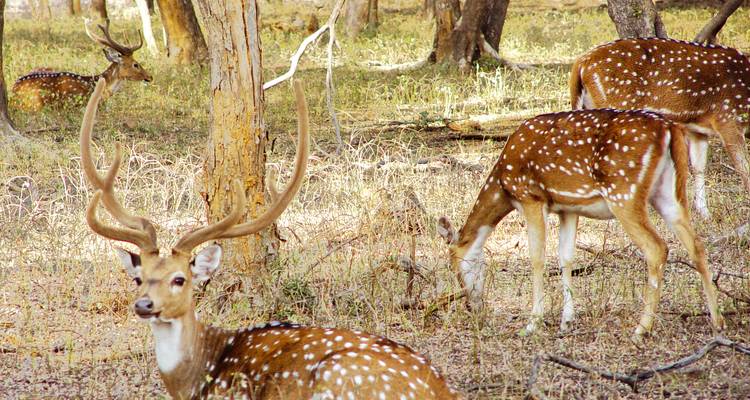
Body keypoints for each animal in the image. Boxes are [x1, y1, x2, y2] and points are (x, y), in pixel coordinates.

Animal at [80, 79, 460, 400]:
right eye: (138, 278)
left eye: (180, 278)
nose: (144, 305)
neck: (194, 379)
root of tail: (443, 390)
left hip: (339, 376)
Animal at [438, 109, 725, 341]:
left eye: (455, 265)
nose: (472, 307)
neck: (503, 186)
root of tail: (670, 129)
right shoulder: (568, 208)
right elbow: (566, 258)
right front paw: (566, 321)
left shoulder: (531, 197)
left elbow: (537, 258)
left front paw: (532, 324)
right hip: (668, 193)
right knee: (696, 244)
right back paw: (717, 320)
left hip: (624, 193)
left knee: (657, 248)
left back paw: (642, 329)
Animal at [570, 37, 750, 221]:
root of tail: (581, 63)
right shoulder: (728, 117)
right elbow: (743, 167)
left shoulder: (698, 128)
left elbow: (698, 166)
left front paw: (704, 213)